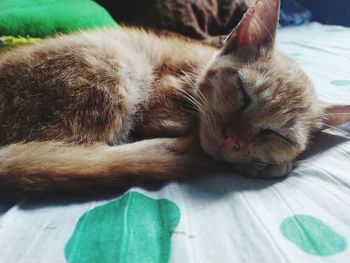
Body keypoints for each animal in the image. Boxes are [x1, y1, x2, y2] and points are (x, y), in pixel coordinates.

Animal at [0, 0, 350, 199]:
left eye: (277, 134)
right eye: (242, 91)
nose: (233, 140)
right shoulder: (160, 104)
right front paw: (265, 166)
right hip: (111, 62)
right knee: (81, 156)